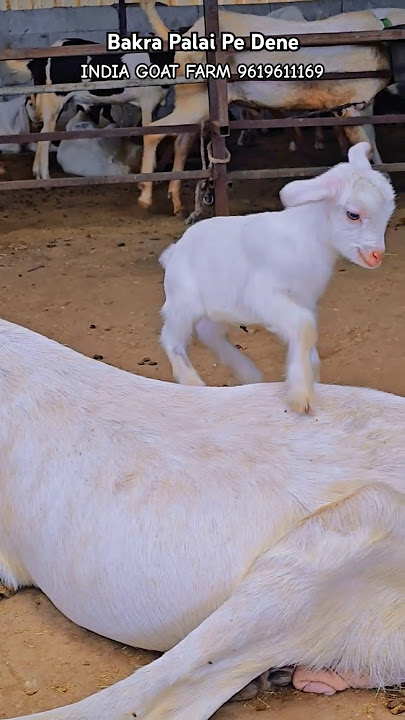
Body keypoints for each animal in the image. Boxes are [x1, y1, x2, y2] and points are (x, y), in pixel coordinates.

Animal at [24, 38, 172, 180]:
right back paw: (46, 177)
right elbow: (148, 133)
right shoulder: (147, 102)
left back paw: (37, 173)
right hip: (55, 99)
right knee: (45, 136)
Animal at [137, 2, 403, 216]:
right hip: (195, 99)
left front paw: (386, 179)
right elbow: (365, 147)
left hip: (193, 100)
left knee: (181, 141)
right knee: (153, 132)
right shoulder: (349, 104)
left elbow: (372, 140)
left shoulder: (364, 103)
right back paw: (145, 195)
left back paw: (176, 201)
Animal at [158, 142, 395, 414]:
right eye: (353, 215)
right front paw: (301, 395)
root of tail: (174, 252)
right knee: (171, 338)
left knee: (208, 332)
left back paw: (249, 373)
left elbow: (309, 344)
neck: (307, 237)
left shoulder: (305, 300)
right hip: (183, 300)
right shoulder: (263, 294)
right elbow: (304, 328)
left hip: (224, 307)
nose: (377, 256)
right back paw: (193, 382)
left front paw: (310, 378)